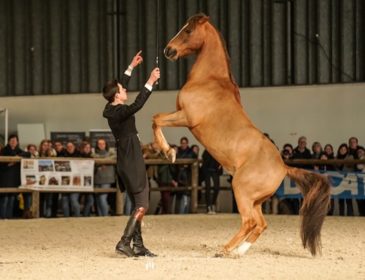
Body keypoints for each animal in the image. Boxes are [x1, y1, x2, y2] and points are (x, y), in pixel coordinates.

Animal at [152, 14, 328, 258]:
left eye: (188, 30)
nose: (168, 50)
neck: (209, 80)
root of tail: (283, 167)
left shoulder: (185, 117)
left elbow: (156, 118)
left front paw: (169, 152)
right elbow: (156, 119)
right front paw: (165, 151)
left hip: (241, 190)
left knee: (249, 222)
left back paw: (225, 249)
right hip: (255, 200)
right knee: (260, 224)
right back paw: (239, 251)